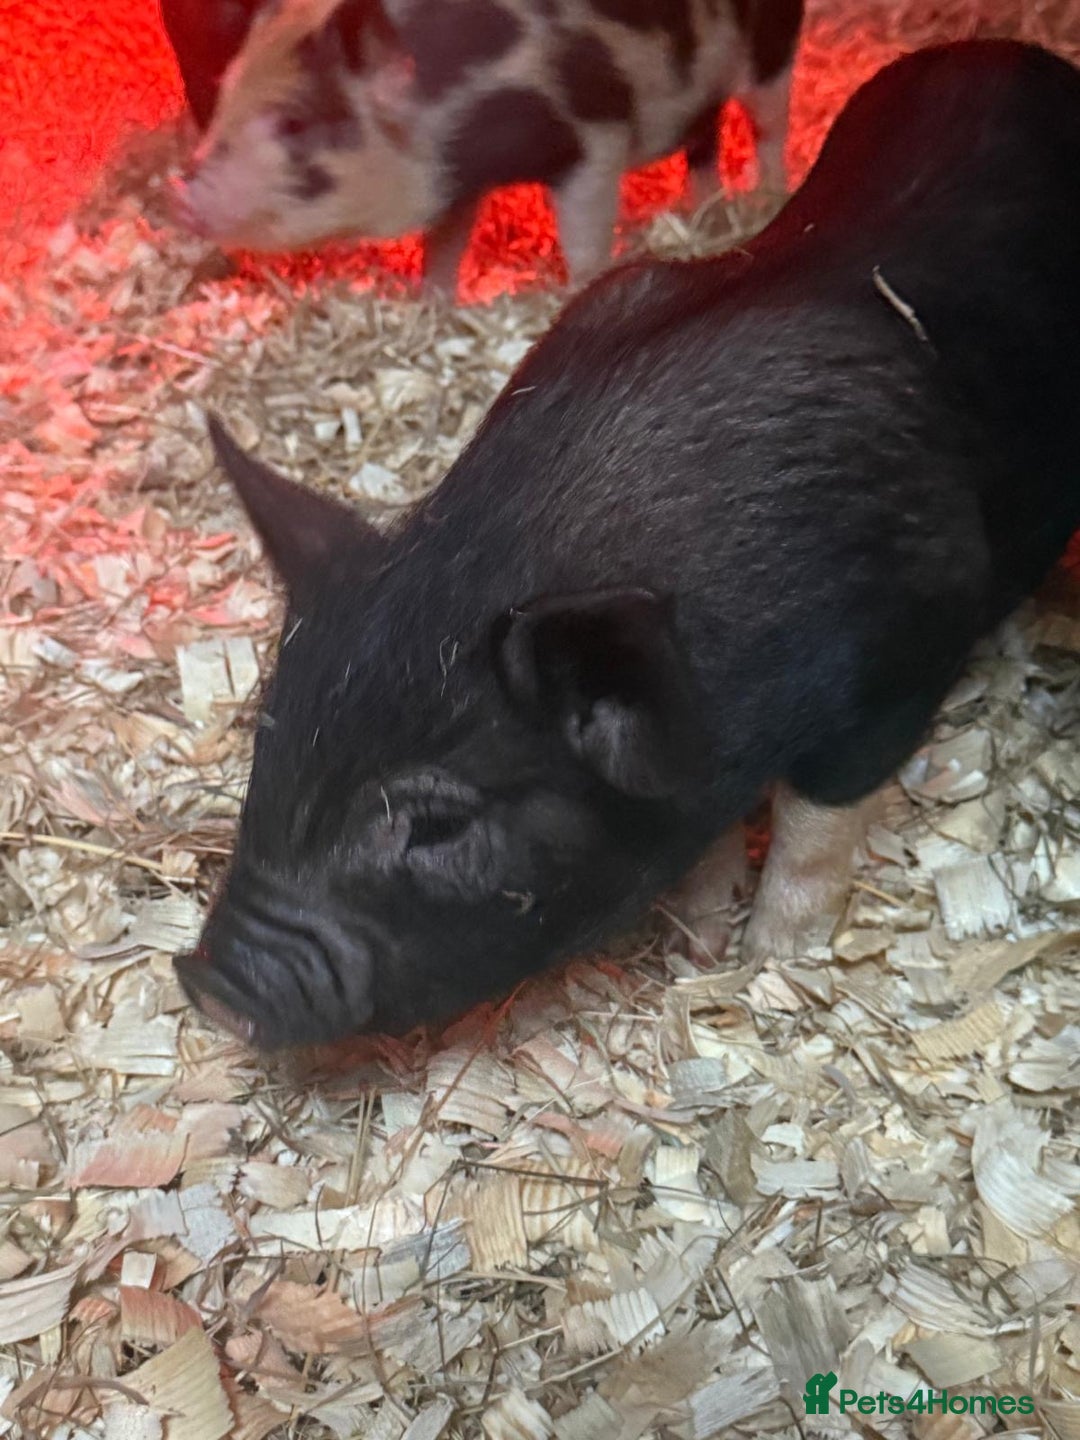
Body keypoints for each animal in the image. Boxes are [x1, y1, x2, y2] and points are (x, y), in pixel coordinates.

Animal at [169, 0, 804, 287]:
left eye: (295, 123)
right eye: (225, 90)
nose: (184, 194)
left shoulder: (592, 136)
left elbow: (585, 236)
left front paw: (582, 288)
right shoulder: (459, 176)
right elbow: (445, 245)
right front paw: (431, 304)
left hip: (773, 42)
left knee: (769, 124)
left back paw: (769, 198)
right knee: (705, 142)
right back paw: (707, 214)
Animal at [175, 38, 1080, 1048]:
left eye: (440, 828)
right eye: (267, 747)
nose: (208, 983)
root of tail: (1011, 49)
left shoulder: (907, 646)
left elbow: (816, 830)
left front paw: (771, 958)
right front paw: (698, 942)